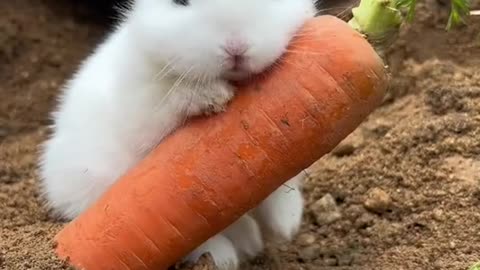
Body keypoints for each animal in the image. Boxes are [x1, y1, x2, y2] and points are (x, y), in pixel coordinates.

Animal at [37, 0, 316, 268]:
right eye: (179, 1)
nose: (235, 46)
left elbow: (281, 186)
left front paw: (287, 226)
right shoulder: (144, 111)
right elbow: (173, 99)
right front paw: (214, 96)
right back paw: (226, 257)